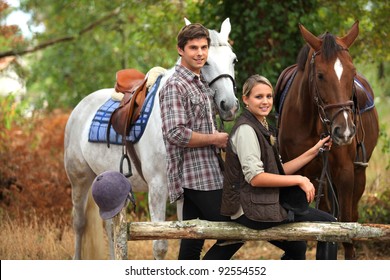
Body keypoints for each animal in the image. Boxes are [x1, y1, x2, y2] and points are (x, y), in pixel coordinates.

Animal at [63, 18, 239, 260]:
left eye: (233, 60)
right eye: (206, 62)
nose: (229, 105)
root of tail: (80, 108)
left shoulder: (183, 192)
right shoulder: (158, 187)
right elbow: (160, 245)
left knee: (109, 226)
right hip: (79, 180)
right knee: (79, 224)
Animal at [274, 20, 378, 260]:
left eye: (352, 72)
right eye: (320, 75)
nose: (345, 131)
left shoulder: (346, 174)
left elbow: (347, 231)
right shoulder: (298, 174)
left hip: (358, 176)